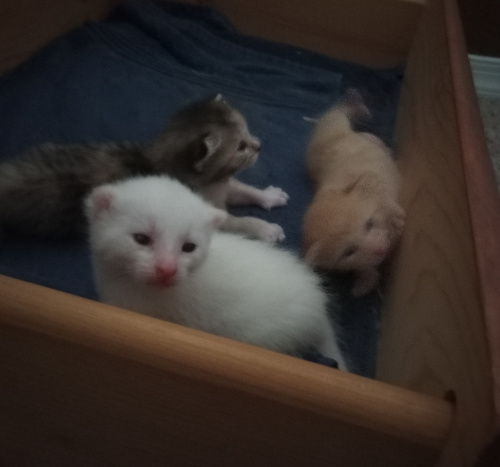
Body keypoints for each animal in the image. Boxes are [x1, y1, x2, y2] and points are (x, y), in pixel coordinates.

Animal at [0, 94, 288, 241]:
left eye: (247, 132)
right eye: (240, 147)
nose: (258, 146)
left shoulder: (223, 186)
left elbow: (246, 190)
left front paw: (270, 196)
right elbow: (241, 222)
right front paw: (266, 229)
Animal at [302, 89, 404, 296]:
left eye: (369, 224)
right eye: (349, 252)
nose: (380, 249)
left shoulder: (373, 177)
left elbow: (386, 200)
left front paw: (396, 218)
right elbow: (366, 266)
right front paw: (364, 281)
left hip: (339, 129)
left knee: (341, 115)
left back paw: (357, 105)